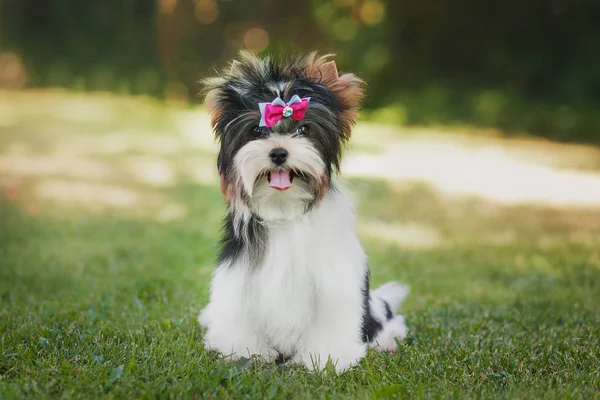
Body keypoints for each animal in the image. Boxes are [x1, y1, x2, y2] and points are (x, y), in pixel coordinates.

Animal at [197, 51, 408, 374]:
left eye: (304, 129)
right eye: (257, 130)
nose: (278, 153)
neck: (284, 207)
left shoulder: (334, 281)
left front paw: (326, 359)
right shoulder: (241, 277)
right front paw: (245, 351)